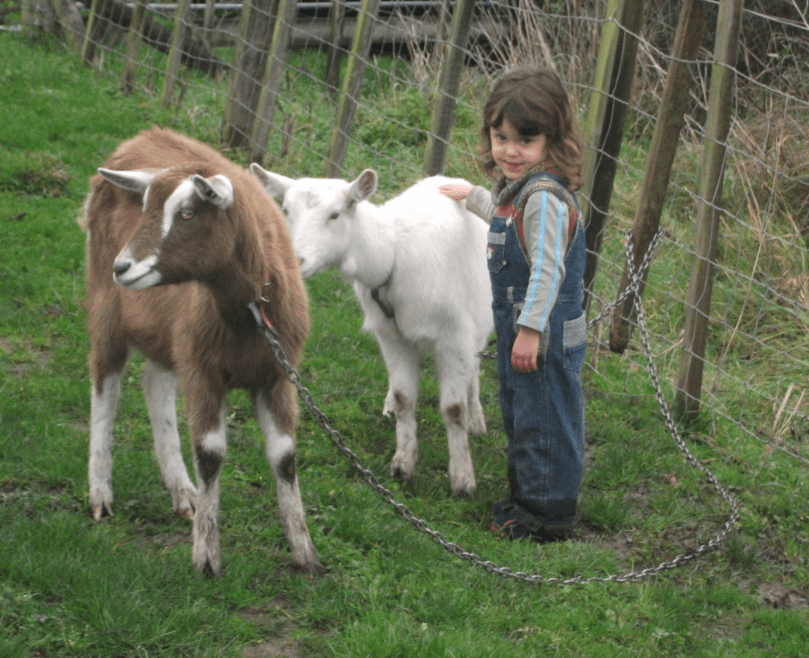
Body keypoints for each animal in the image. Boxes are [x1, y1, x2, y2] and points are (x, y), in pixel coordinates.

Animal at [81, 127, 321, 576]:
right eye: (145, 208)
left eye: (189, 213)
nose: (123, 267)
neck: (249, 313)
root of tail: (139, 139)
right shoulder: (204, 371)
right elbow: (210, 454)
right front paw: (206, 555)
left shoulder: (276, 375)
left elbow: (284, 456)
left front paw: (305, 552)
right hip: (107, 308)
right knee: (105, 386)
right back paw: (100, 493)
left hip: (169, 334)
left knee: (154, 382)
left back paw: (182, 490)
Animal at [250, 165, 493, 496]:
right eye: (286, 210)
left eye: (336, 214)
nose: (295, 261)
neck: (393, 254)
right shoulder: (391, 334)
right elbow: (405, 397)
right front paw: (402, 465)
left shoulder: (454, 337)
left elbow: (454, 409)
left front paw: (463, 480)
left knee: (475, 368)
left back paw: (476, 420)